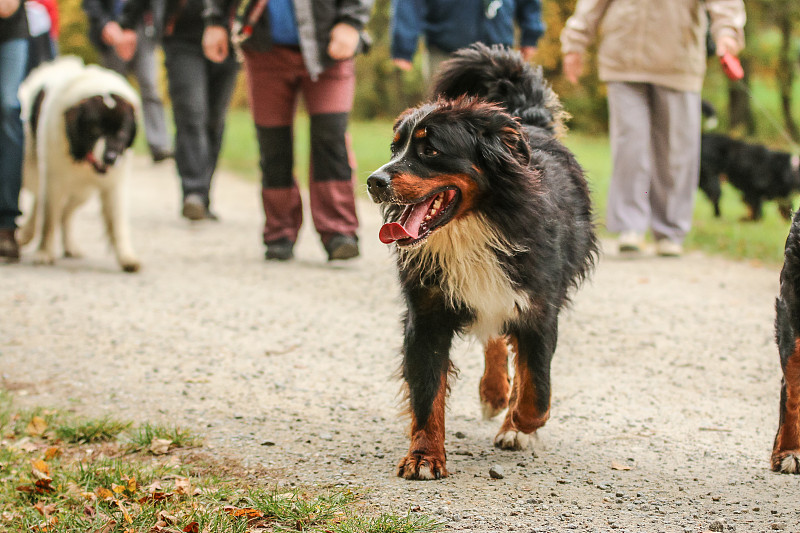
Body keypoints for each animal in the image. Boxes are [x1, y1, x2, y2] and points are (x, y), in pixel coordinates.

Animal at [16, 56, 141, 272]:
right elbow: (48, 218)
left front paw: (126, 257)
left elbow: (117, 222)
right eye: (95, 130)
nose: (111, 157)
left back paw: (69, 246)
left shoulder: (114, 184)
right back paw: (26, 235)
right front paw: (44, 252)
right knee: (43, 204)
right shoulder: (53, 179)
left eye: (122, 132)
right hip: (32, 171)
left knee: (65, 213)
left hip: (82, 192)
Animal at [366, 43, 596, 480]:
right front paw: (424, 456)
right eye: (394, 148)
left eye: (430, 149)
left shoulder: (538, 308)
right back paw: (493, 392)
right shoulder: (427, 315)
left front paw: (519, 426)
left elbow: (537, 391)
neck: (472, 226)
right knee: (494, 339)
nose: (373, 181)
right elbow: (427, 393)